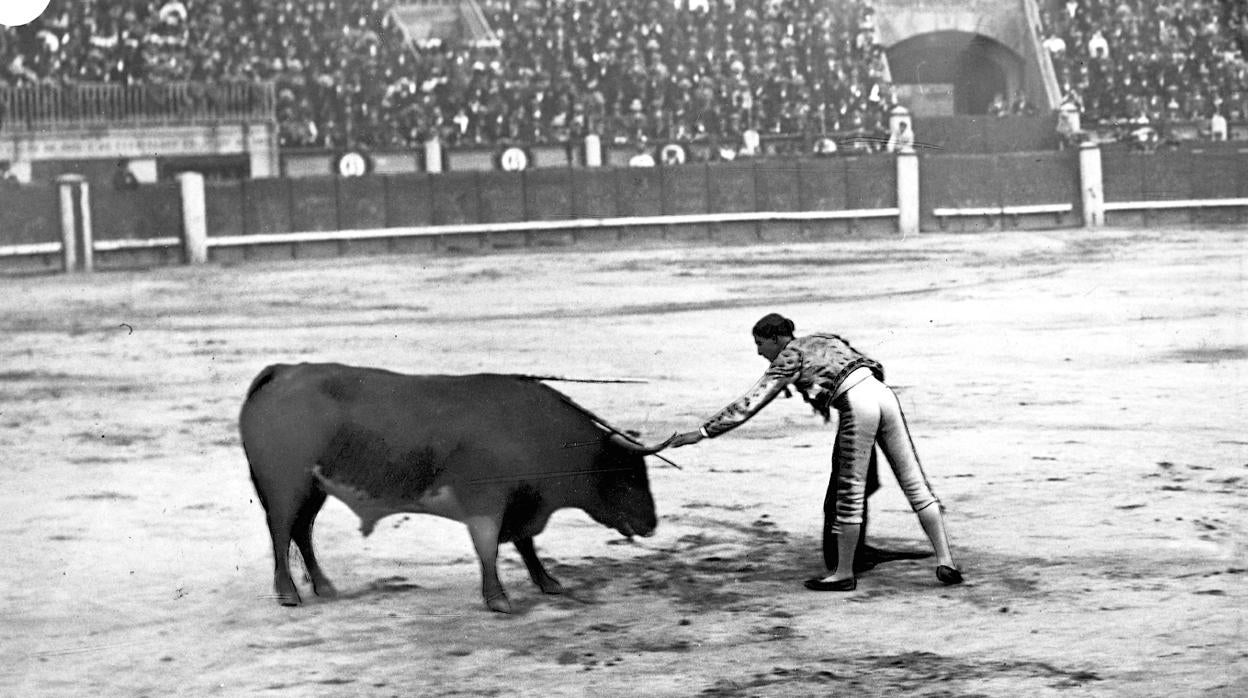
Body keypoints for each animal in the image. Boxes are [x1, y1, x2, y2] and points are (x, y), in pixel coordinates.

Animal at [240, 362, 673, 614]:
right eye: (627, 476)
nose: (652, 524)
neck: (532, 431)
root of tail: (283, 372)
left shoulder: (520, 504)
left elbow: (525, 544)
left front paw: (547, 582)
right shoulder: (488, 505)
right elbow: (489, 548)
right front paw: (498, 599)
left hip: (314, 488)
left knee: (302, 532)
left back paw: (325, 587)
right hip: (287, 486)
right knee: (281, 531)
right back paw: (288, 593)